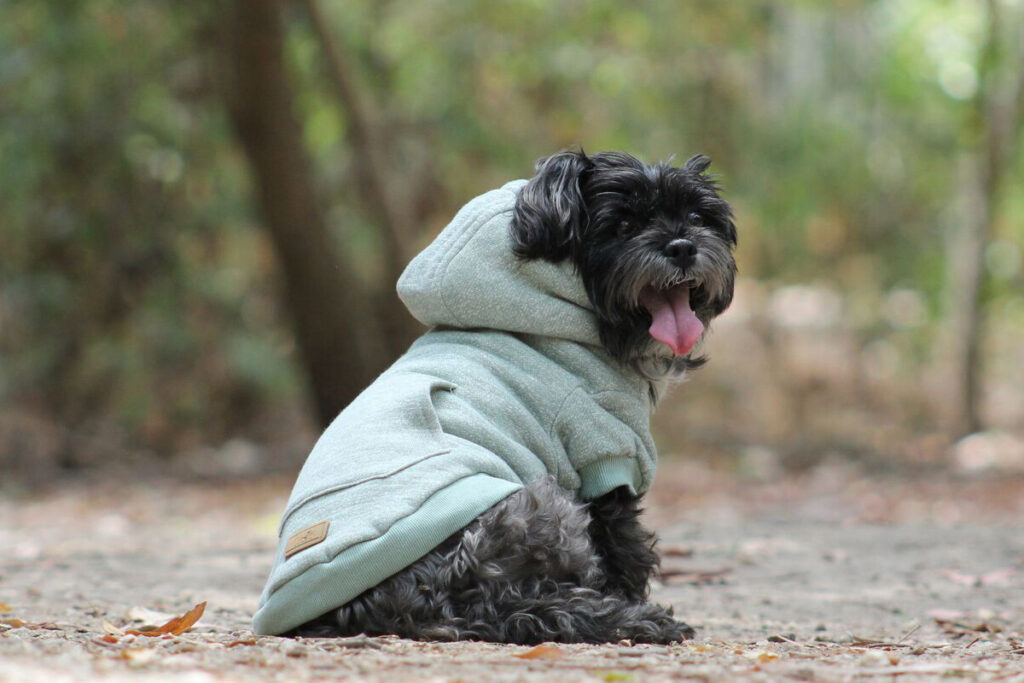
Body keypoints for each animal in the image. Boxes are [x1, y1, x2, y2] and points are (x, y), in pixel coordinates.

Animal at [254, 150, 737, 647]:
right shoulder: (606, 456)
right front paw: (631, 601)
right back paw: (624, 618)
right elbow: (626, 549)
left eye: (697, 217)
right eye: (623, 225)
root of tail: (377, 606)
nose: (682, 246)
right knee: (516, 606)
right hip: (535, 508)